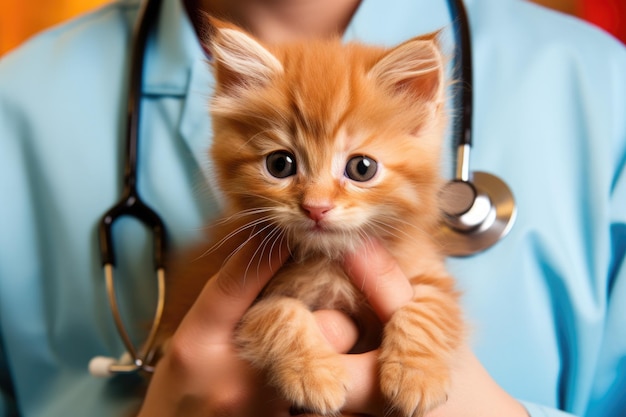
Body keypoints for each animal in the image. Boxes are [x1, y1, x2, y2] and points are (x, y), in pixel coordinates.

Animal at [161, 18, 464, 416]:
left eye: (362, 168)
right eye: (280, 164)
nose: (315, 207)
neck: (326, 261)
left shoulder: (427, 272)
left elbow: (426, 307)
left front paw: (417, 373)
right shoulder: (240, 299)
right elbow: (282, 313)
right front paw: (313, 373)